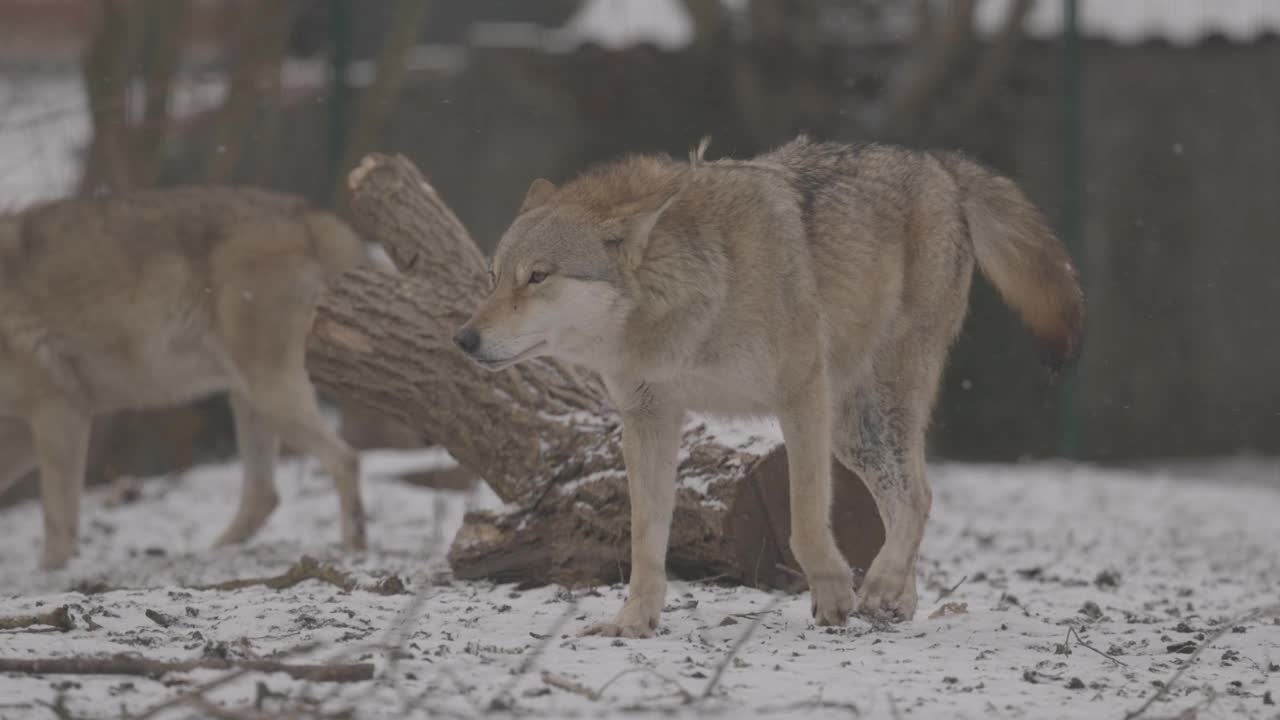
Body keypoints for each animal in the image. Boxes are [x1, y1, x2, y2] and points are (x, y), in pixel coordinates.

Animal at [0, 184, 371, 566]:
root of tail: (308, 213)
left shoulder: (60, 412)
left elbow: (57, 523)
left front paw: (53, 574)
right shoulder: (23, 432)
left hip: (271, 394)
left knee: (345, 459)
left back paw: (353, 547)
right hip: (251, 402)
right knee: (264, 495)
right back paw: (215, 553)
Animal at [455, 133, 1085, 632]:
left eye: (538, 277)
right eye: (494, 277)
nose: (464, 339)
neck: (693, 297)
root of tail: (940, 163)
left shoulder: (800, 395)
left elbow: (805, 521)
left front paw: (833, 596)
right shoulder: (648, 419)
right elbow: (644, 536)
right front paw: (633, 621)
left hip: (872, 405)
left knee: (922, 496)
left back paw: (879, 586)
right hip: (854, 434)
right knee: (904, 497)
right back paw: (895, 601)